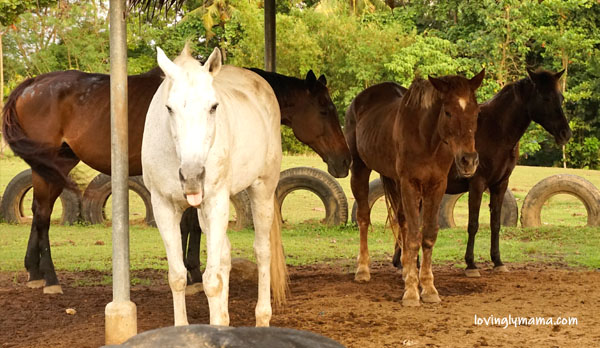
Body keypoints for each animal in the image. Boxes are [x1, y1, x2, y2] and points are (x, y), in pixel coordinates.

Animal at [2, 66, 350, 294]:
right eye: (325, 109)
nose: (345, 160)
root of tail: (30, 84)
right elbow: (192, 226)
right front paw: (193, 272)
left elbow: (190, 225)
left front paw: (191, 270)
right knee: (43, 215)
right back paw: (50, 279)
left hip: (54, 165)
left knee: (39, 213)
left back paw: (34, 271)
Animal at [143, 45, 288, 326]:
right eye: (169, 108)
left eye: (213, 107)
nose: (191, 176)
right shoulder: (164, 206)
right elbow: (177, 277)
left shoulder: (216, 201)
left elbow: (212, 281)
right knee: (224, 255)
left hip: (262, 190)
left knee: (262, 251)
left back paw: (262, 317)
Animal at [344, 70, 486, 304]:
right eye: (448, 112)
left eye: (476, 112)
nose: (469, 161)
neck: (427, 139)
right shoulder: (409, 183)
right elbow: (412, 237)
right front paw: (411, 292)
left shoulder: (436, 186)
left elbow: (427, 235)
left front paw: (427, 288)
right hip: (360, 169)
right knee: (363, 217)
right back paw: (363, 269)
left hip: (394, 180)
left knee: (401, 219)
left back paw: (404, 270)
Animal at [390, 68, 572, 276]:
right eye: (545, 98)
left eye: (560, 97)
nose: (566, 133)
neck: (496, 131)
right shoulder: (477, 184)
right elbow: (473, 224)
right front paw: (471, 264)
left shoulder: (500, 184)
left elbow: (495, 223)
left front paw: (498, 261)